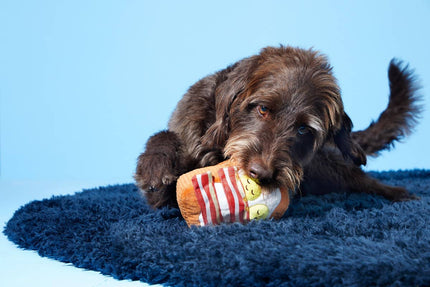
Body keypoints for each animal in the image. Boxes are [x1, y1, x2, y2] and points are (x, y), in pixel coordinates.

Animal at [134, 46, 420, 210]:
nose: (261, 173)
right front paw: (155, 164)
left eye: (303, 129)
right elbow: (164, 138)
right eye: (262, 109)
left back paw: (398, 193)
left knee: (359, 180)